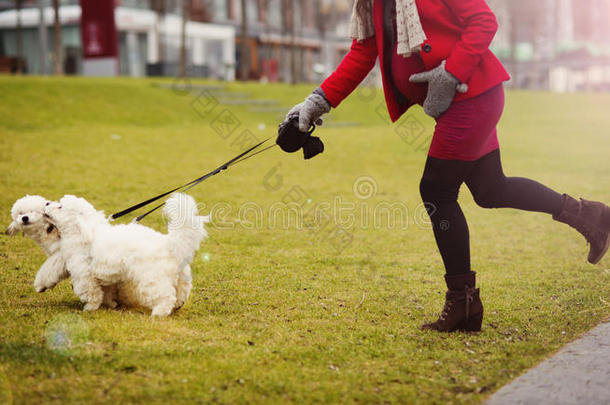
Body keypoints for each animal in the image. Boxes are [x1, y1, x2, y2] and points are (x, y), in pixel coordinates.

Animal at [44, 193, 207, 316]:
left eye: (60, 206)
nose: (46, 203)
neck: (84, 232)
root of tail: (169, 244)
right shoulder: (106, 278)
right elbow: (107, 293)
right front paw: (111, 304)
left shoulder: (85, 276)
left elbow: (92, 294)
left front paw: (89, 309)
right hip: (181, 278)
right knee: (181, 294)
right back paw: (177, 306)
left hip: (151, 279)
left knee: (165, 296)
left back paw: (158, 313)